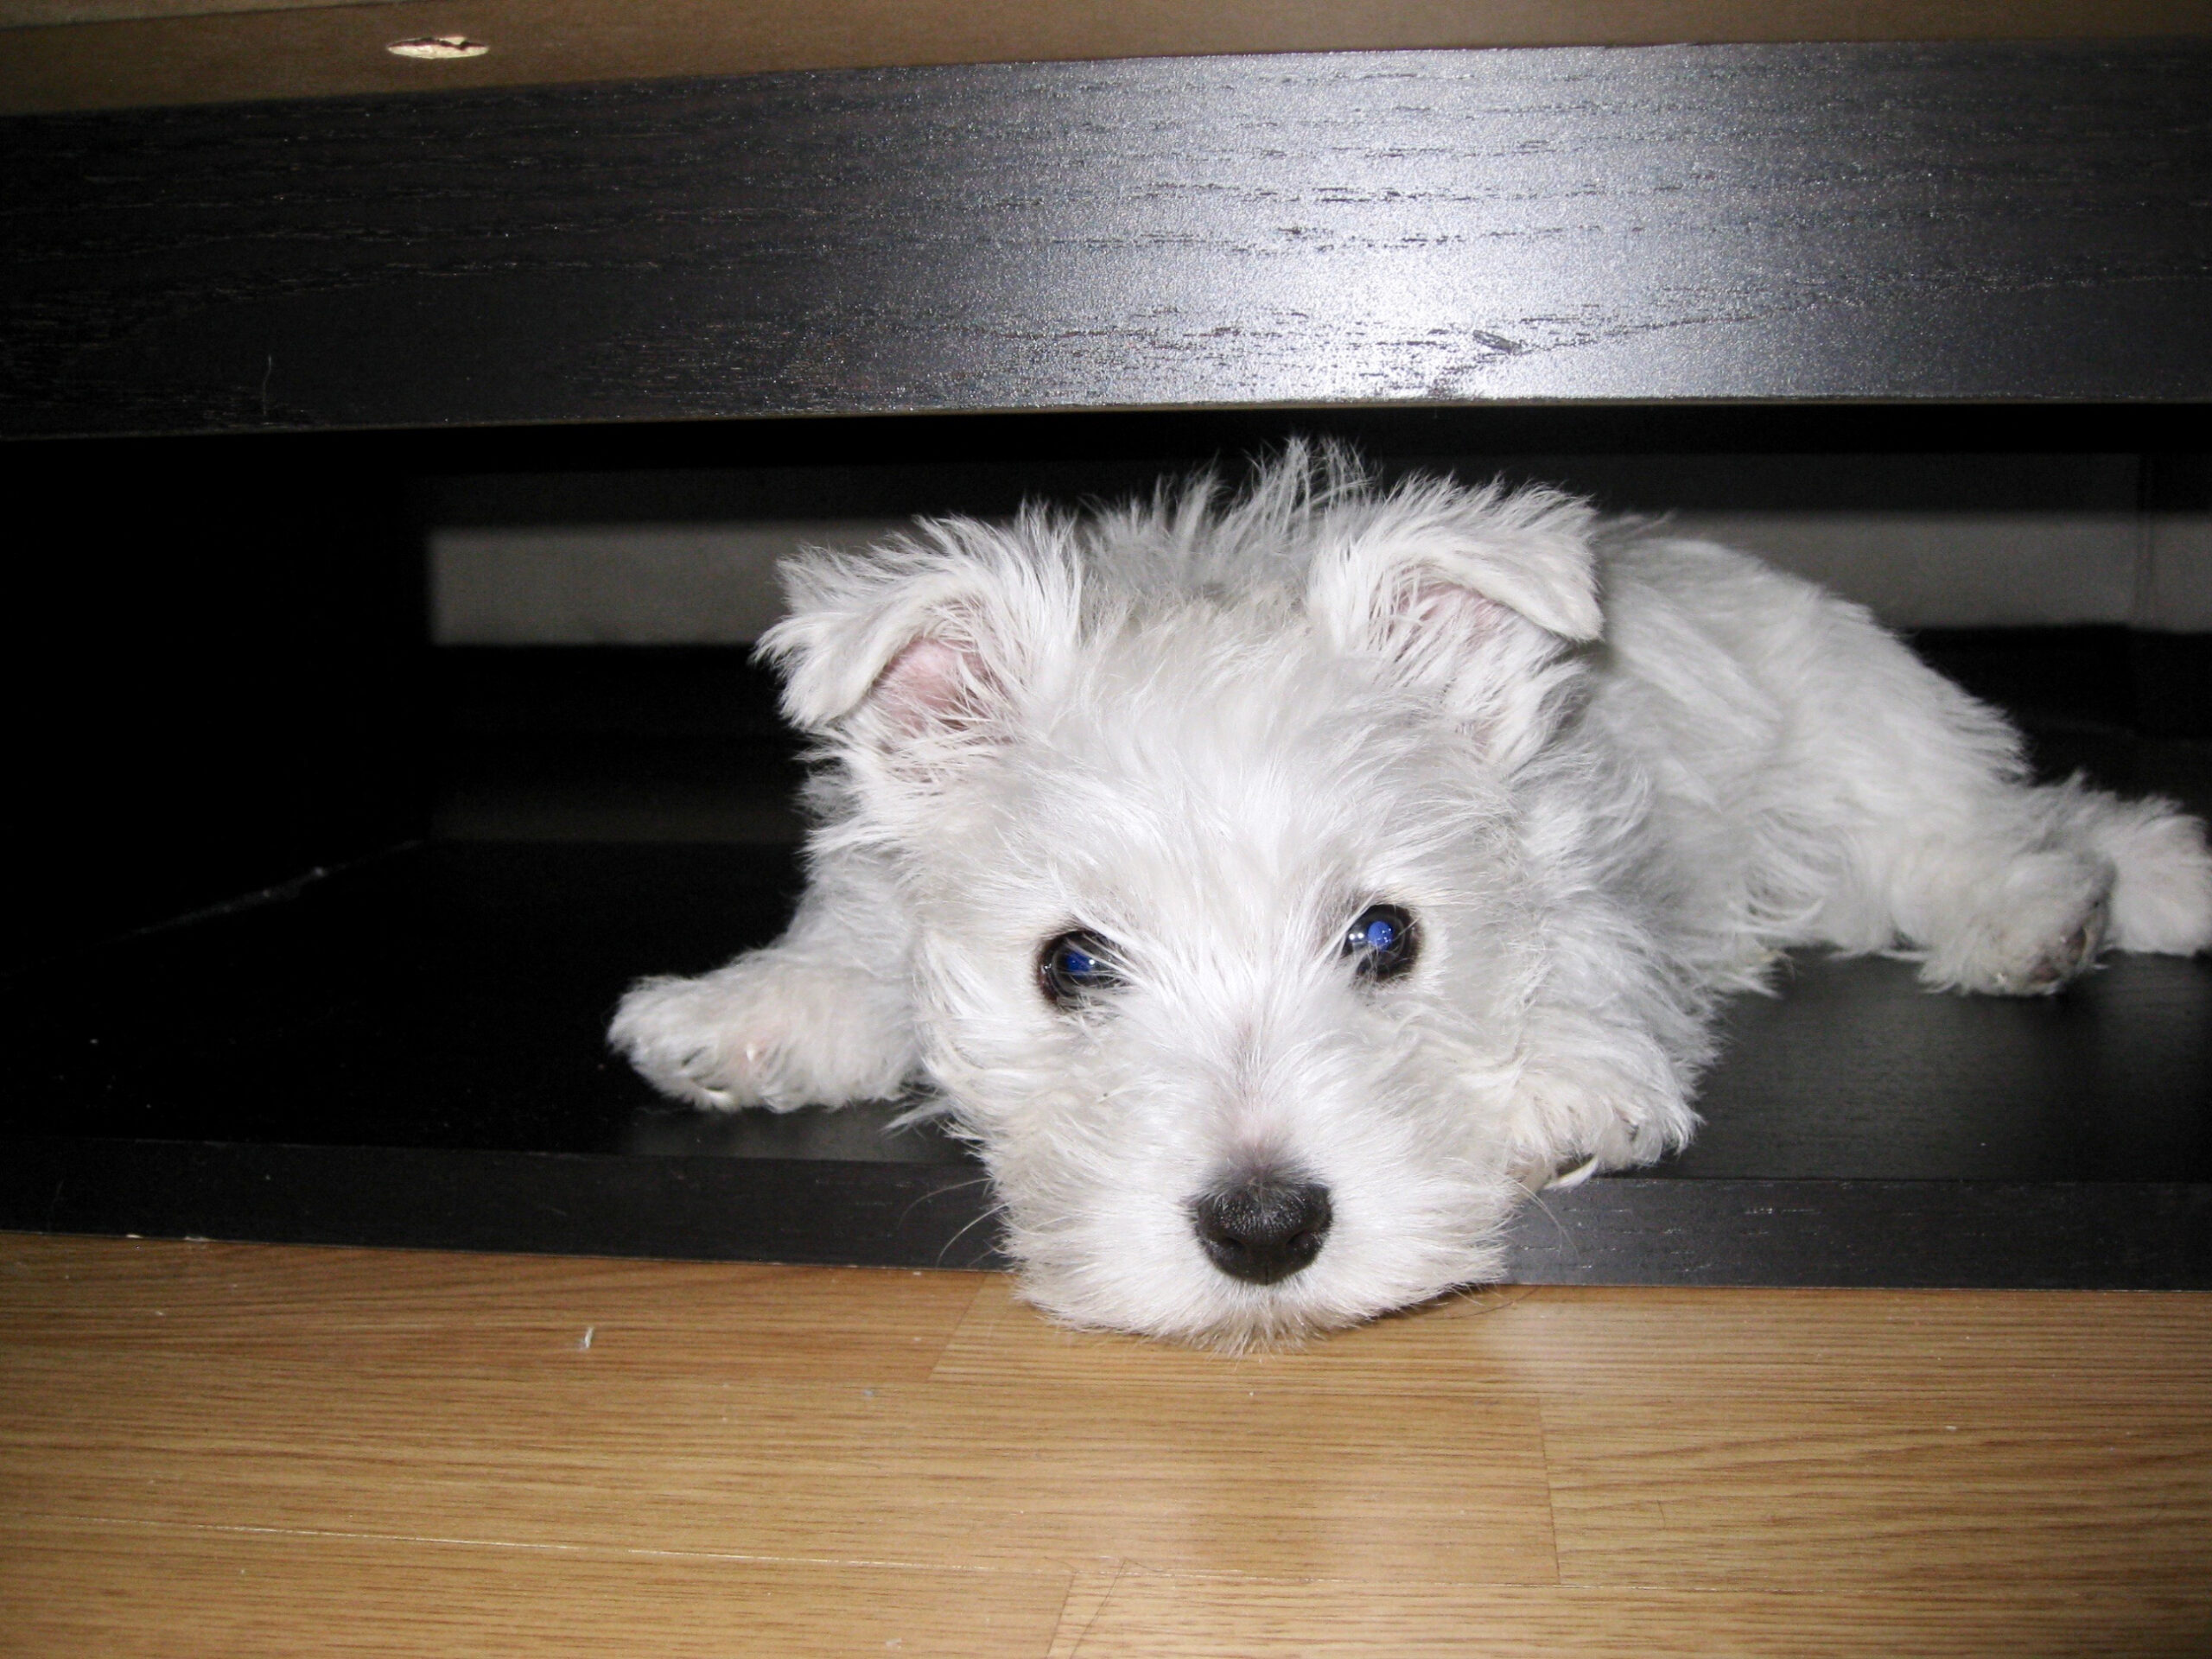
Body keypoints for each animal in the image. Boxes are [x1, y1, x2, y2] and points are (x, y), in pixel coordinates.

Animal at [614, 451, 2212, 1353]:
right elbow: (857, 945)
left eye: (1387, 936)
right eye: (1068, 965)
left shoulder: (1586, 857)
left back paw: (2064, 906)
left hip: (1854, 752)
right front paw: (735, 1017)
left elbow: (1583, 965)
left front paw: (1561, 1087)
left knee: (1988, 824)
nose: (1265, 1231)